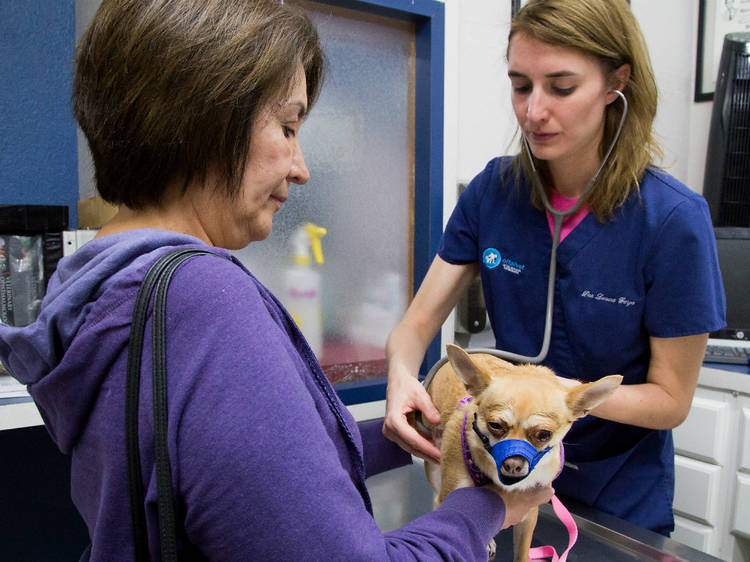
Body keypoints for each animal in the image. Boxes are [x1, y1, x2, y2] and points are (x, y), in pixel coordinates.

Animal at [420, 344, 624, 556]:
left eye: (544, 434)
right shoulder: (450, 499)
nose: (513, 464)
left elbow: (522, 552)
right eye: (495, 425)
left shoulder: (529, 514)